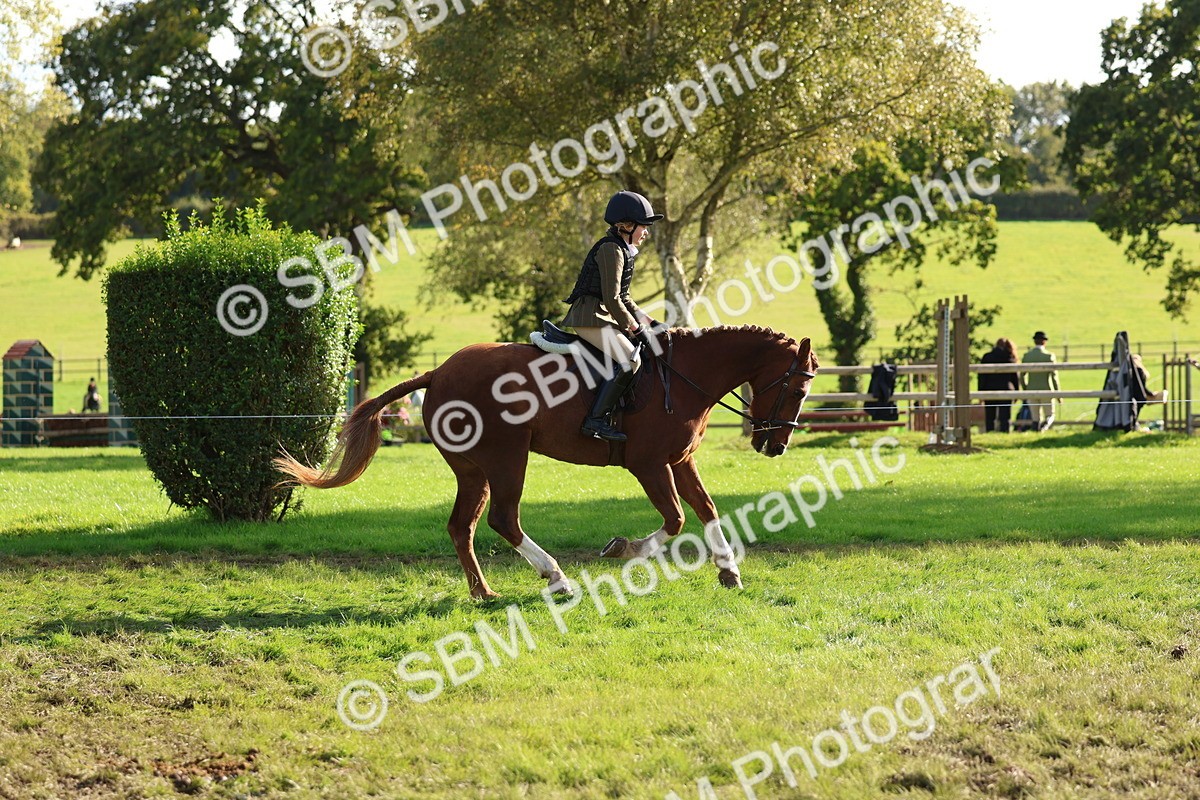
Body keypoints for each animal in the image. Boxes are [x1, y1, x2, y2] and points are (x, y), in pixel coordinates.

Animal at [275, 325, 818, 599]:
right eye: (798, 388)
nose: (776, 447)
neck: (682, 375)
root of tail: (439, 372)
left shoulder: (679, 461)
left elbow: (706, 510)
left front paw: (729, 571)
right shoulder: (648, 464)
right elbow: (676, 518)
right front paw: (624, 549)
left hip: (473, 470)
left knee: (462, 526)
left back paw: (484, 591)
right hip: (506, 459)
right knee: (502, 519)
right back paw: (555, 577)